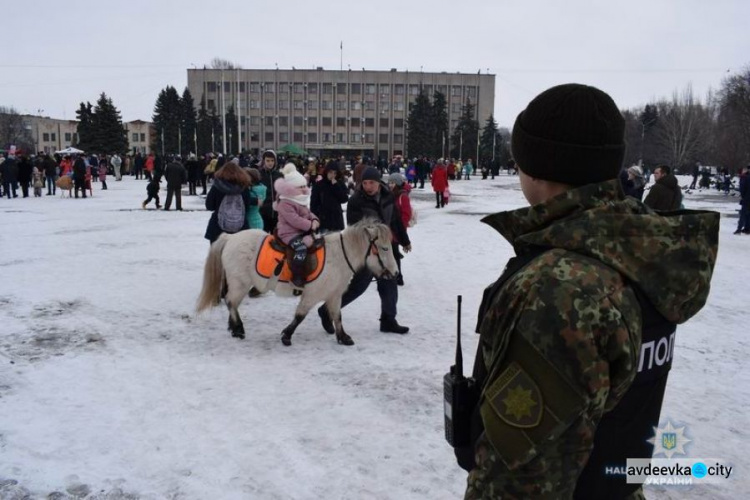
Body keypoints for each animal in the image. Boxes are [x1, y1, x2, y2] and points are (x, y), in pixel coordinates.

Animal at [197, 221, 402, 346]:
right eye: (384, 248)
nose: (395, 273)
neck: (339, 256)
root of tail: (230, 237)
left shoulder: (335, 295)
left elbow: (337, 316)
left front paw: (343, 337)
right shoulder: (312, 294)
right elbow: (300, 315)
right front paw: (286, 335)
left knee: (231, 302)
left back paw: (234, 328)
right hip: (240, 283)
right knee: (231, 301)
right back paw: (238, 329)